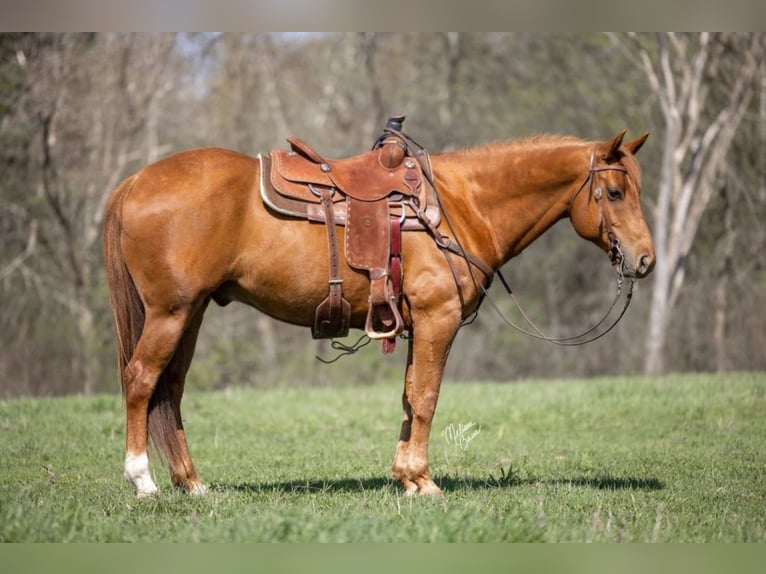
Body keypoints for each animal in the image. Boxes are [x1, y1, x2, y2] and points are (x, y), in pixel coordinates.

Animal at [102, 130, 656, 500]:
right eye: (614, 193)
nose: (645, 260)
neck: (459, 205)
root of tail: (134, 182)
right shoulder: (438, 319)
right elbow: (427, 399)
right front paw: (425, 482)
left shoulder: (417, 326)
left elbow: (410, 398)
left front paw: (406, 478)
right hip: (170, 313)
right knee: (141, 379)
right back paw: (143, 480)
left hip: (190, 313)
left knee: (170, 389)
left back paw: (192, 483)